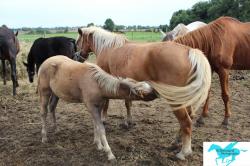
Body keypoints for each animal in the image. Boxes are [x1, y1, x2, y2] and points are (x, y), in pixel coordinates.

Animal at [75, 26, 211, 160]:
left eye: (77, 42)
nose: (77, 57)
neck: (108, 47)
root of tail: (189, 51)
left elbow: (107, 103)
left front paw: (104, 119)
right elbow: (128, 103)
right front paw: (128, 122)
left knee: (186, 122)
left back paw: (183, 152)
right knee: (188, 118)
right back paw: (175, 142)